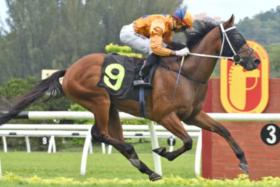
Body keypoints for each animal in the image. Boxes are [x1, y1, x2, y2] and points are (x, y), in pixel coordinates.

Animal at [0, 15, 260, 180]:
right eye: (238, 39)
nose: (255, 60)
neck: (186, 72)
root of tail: (70, 69)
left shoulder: (193, 114)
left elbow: (223, 129)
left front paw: (244, 162)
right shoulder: (165, 116)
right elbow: (187, 141)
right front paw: (163, 152)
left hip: (111, 107)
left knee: (104, 134)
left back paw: (147, 169)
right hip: (99, 101)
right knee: (101, 134)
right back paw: (137, 155)